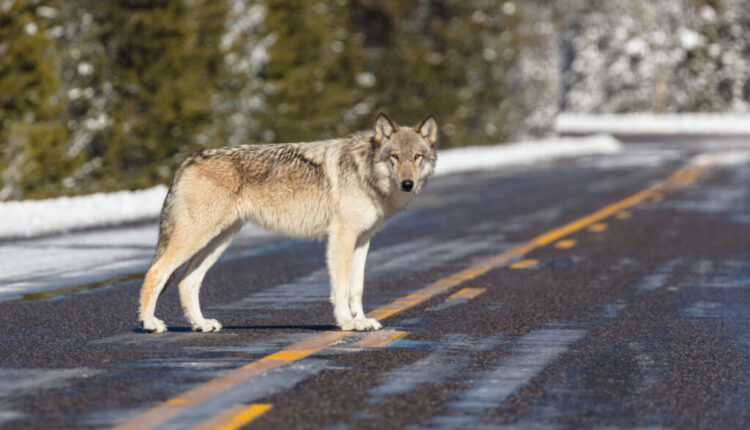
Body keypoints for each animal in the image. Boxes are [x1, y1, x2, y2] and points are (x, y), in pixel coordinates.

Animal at [138, 113, 438, 333]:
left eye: (417, 157)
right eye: (395, 157)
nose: (407, 184)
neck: (366, 172)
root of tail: (187, 160)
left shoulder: (363, 240)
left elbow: (357, 287)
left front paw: (362, 320)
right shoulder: (342, 237)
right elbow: (341, 287)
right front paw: (347, 323)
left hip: (218, 242)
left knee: (186, 281)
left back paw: (201, 324)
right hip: (197, 237)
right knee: (156, 272)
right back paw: (150, 324)